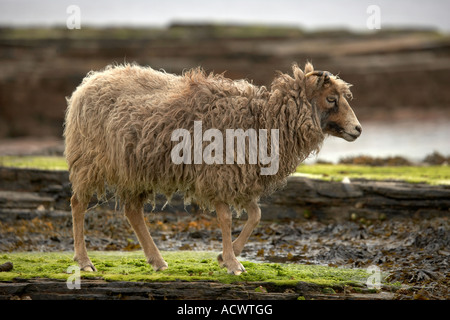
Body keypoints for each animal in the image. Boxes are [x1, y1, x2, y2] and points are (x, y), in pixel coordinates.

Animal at [64, 62, 362, 276]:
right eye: (331, 98)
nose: (358, 129)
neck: (263, 120)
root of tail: (87, 83)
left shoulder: (242, 177)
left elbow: (256, 216)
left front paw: (225, 256)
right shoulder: (218, 175)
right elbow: (226, 219)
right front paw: (231, 263)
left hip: (136, 170)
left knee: (132, 212)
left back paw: (157, 261)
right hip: (89, 160)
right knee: (78, 204)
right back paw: (84, 261)